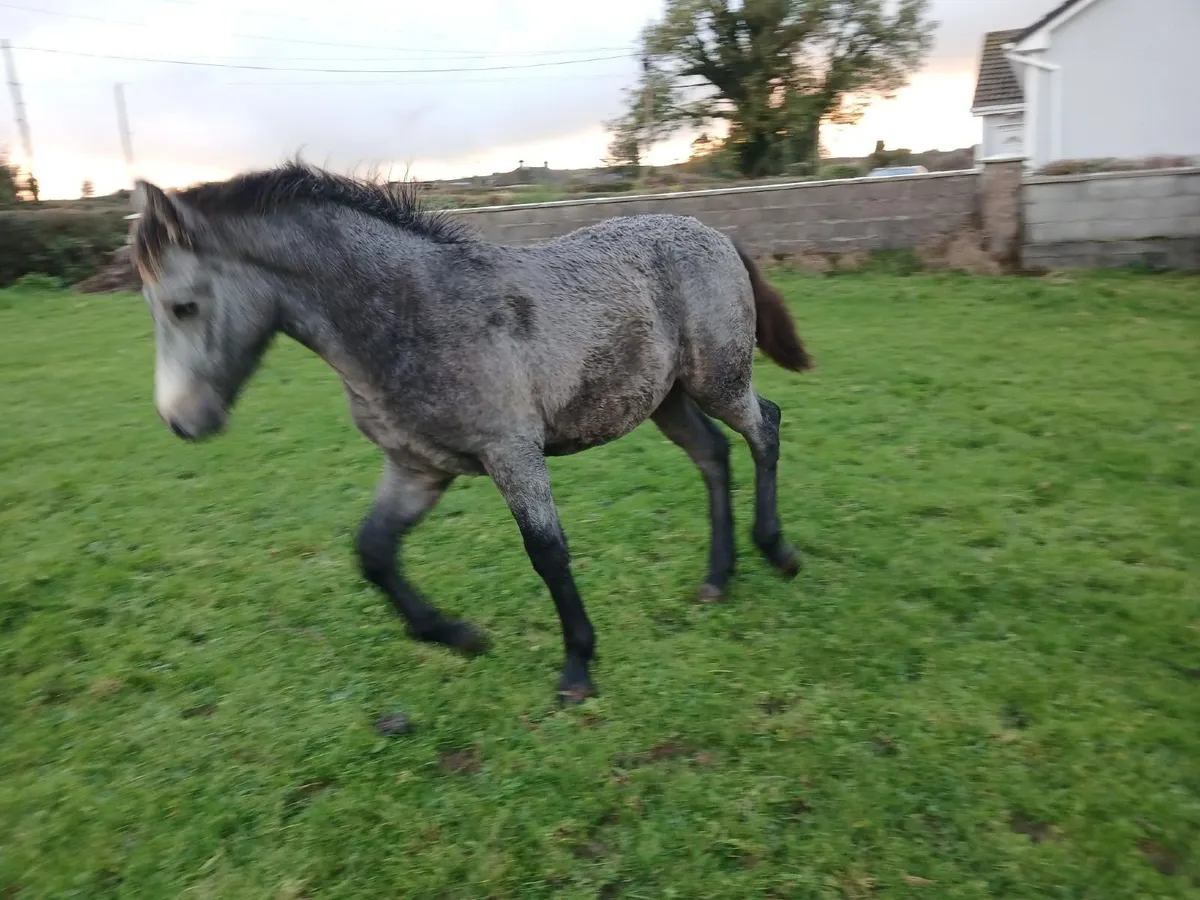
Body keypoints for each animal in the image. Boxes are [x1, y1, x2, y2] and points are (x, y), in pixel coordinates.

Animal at [129, 161, 812, 704]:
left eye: (184, 306)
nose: (181, 421)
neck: (415, 311)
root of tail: (716, 234)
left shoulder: (513, 452)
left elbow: (548, 553)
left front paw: (576, 667)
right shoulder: (418, 466)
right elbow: (373, 551)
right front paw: (457, 635)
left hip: (716, 379)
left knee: (766, 430)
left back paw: (777, 550)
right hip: (664, 400)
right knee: (714, 455)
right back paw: (718, 576)